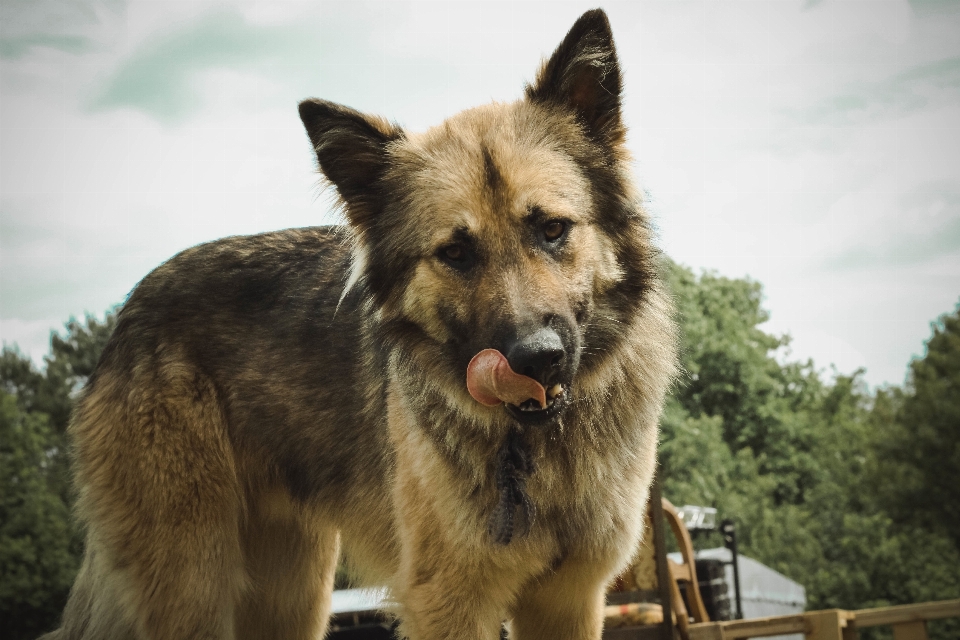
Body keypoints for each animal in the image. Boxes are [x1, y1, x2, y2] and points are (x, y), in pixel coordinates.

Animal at [43, 8, 676, 640]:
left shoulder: (570, 600)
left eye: (551, 229)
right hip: (195, 585)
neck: (535, 447)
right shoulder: (449, 604)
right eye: (455, 253)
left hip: (293, 593)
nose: (536, 358)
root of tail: (130, 310)